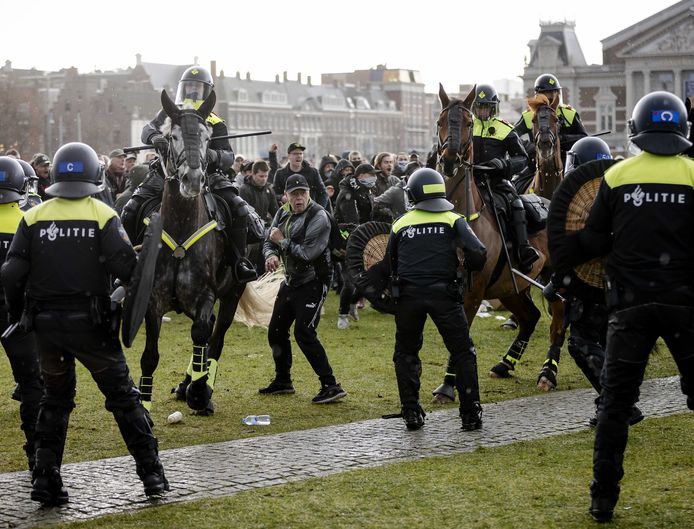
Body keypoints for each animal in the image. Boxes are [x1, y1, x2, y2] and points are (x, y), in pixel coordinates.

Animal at [135, 88, 245, 414]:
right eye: (172, 136)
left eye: (208, 138)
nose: (193, 180)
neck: (181, 228)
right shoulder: (152, 301)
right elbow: (150, 355)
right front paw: (144, 402)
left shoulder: (205, 296)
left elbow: (201, 334)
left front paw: (199, 391)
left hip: (234, 291)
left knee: (216, 336)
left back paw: (200, 387)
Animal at [436, 83, 564, 400]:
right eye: (440, 121)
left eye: (468, 123)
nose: (450, 160)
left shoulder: (472, 293)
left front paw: (448, 385)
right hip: (510, 287)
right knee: (530, 317)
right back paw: (505, 364)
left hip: (551, 279)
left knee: (558, 318)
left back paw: (548, 373)